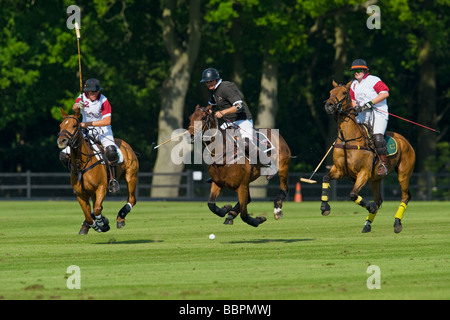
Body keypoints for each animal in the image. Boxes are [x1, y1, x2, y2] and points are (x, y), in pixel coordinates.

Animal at [324, 81, 414, 234]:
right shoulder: (339, 171)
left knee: (405, 197)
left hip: (403, 173)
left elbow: (353, 194)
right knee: (379, 200)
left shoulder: (364, 172)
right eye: (330, 92)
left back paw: (397, 223)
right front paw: (324, 207)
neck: (347, 140)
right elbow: (325, 178)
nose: (329, 105)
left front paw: (370, 206)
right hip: (375, 179)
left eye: (344, 92)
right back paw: (367, 225)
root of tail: (406, 141)